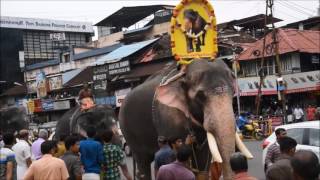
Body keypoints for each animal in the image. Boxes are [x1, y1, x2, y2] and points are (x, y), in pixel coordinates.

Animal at [119, 58, 254, 179]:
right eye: (200, 95)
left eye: (233, 92)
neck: (183, 76)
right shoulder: (169, 117)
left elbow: (202, 163)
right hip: (130, 132)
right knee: (143, 162)